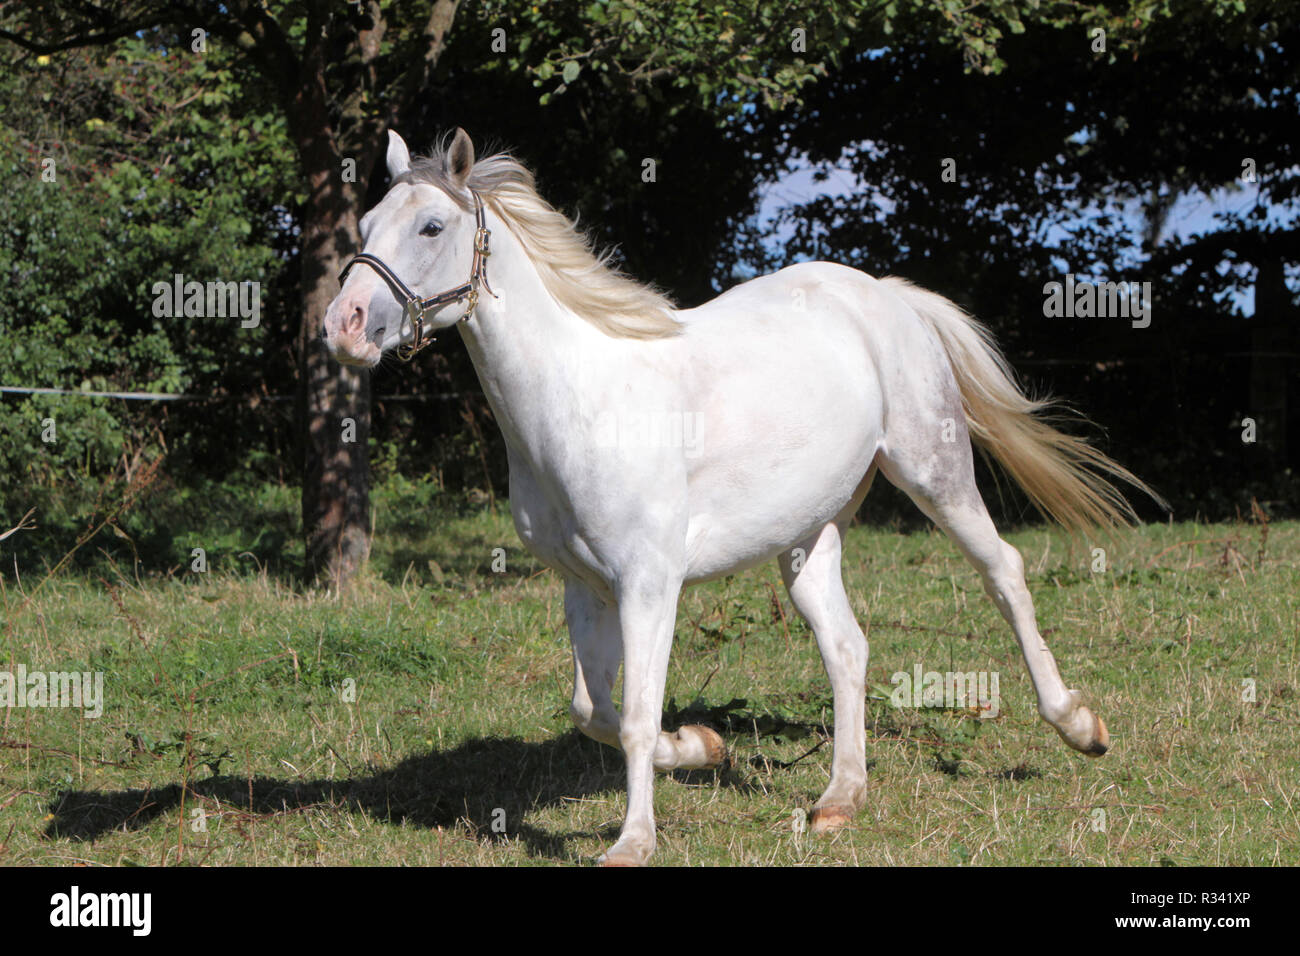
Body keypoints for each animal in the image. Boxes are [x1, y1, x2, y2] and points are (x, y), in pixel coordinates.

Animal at [323, 128, 1162, 866]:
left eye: (431, 225)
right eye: (365, 225)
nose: (344, 325)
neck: (582, 400)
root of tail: (885, 296)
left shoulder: (649, 584)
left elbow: (634, 715)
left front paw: (633, 842)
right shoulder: (585, 586)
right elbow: (593, 711)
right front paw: (703, 748)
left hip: (936, 472)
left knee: (1004, 574)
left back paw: (1079, 726)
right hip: (809, 536)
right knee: (848, 647)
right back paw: (838, 800)